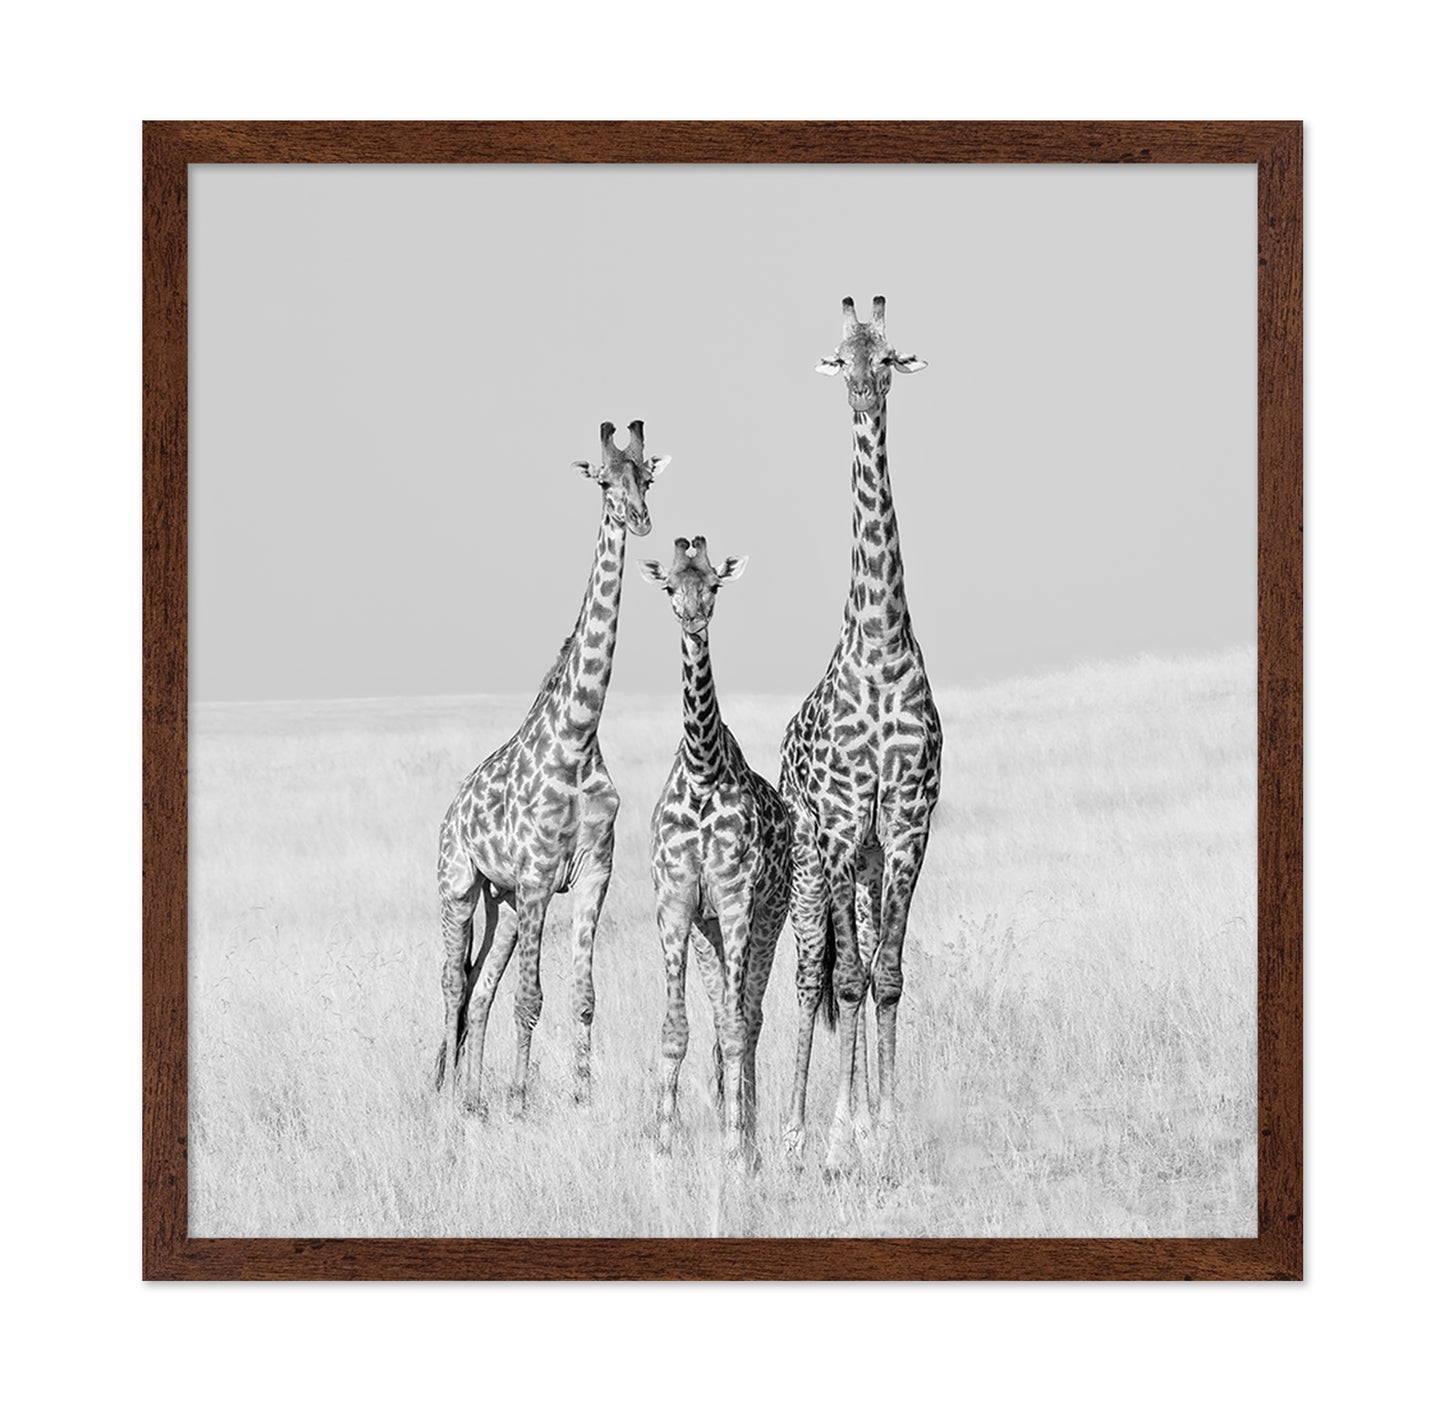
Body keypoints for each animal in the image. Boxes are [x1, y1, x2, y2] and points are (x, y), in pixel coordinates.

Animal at [434, 420, 669, 1114]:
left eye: (647, 476)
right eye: (604, 480)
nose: (640, 518)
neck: (578, 736)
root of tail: (452, 809)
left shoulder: (593, 872)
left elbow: (582, 996)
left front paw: (580, 1097)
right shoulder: (540, 877)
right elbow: (531, 996)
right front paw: (520, 1098)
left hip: (504, 903)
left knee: (479, 988)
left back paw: (472, 1098)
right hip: (460, 887)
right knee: (453, 985)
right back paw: (452, 1095)